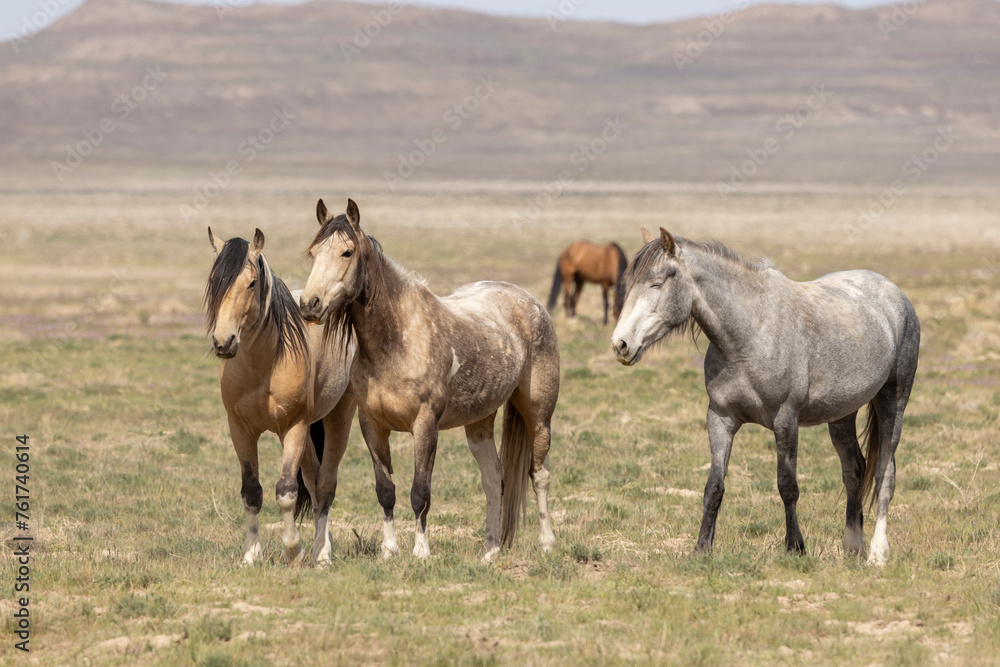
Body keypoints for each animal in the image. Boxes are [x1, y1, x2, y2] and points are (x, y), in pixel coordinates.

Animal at [203, 227, 356, 568]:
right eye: (214, 280)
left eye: (251, 283)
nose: (223, 342)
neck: (264, 365)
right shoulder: (240, 430)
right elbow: (251, 491)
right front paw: (250, 555)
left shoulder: (294, 427)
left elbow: (286, 490)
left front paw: (292, 551)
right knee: (313, 481)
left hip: (338, 418)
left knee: (325, 485)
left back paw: (322, 554)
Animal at [300, 200, 560, 564]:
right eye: (313, 253)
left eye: (347, 252)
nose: (310, 304)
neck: (397, 341)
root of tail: (529, 302)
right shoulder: (372, 425)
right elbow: (386, 491)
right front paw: (390, 550)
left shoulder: (425, 425)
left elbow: (420, 492)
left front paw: (420, 551)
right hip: (479, 424)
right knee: (494, 479)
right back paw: (490, 550)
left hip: (538, 416)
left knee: (540, 475)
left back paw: (547, 543)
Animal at [604, 228, 916, 564]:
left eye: (657, 283)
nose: (620, 344)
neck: (749, 334)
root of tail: (895, 294)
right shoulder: (720, 419)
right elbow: (714, 487)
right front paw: (702, 548)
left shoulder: (785, 421)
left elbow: (787, 485)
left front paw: (795, 547)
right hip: (842, 413)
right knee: (854, 470)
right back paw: (852, 547)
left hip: (893, 402)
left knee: (885, 474)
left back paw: (877, 553)